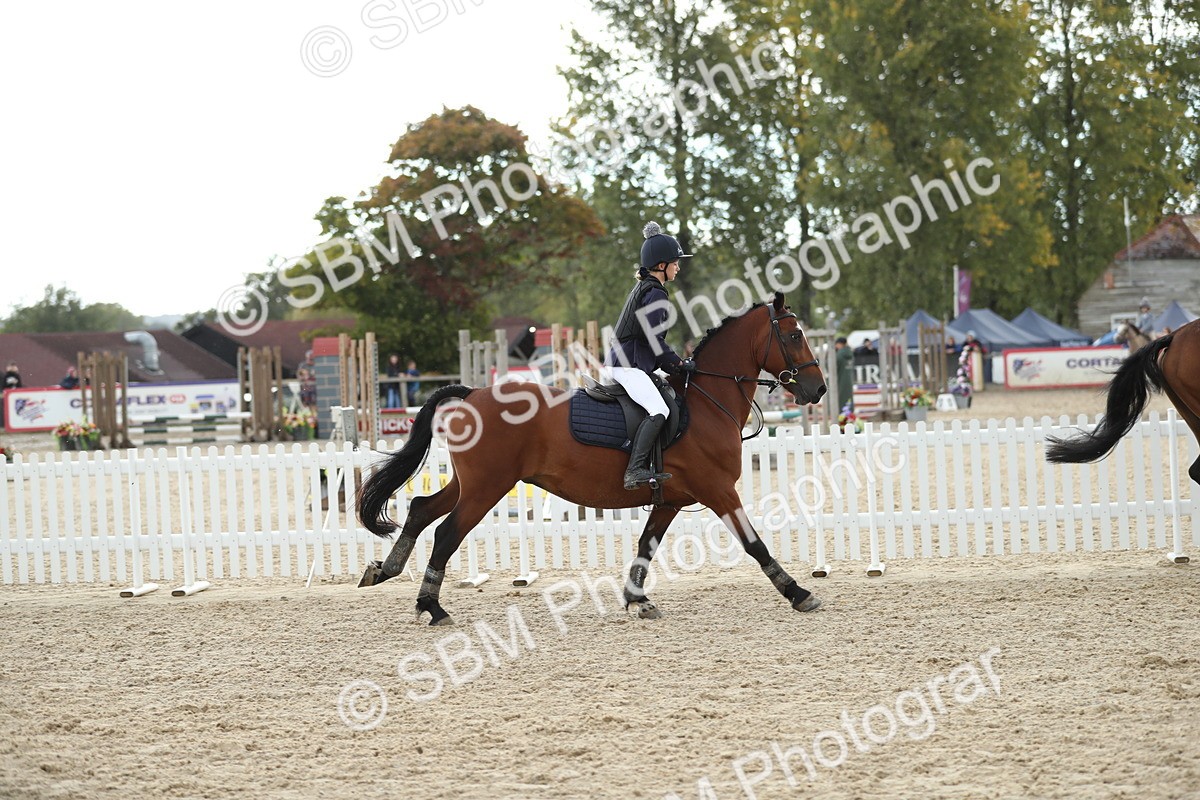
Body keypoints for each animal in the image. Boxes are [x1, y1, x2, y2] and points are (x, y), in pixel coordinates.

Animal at [356, 292, 828, 625]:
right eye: (793, 336)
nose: (818, 389)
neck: (707, 401)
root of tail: (473, 394)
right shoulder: (718, 491)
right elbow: (754, 543)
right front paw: (798, 593)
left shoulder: (671, 500)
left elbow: (646, 546)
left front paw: (638, 600)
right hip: (486, 488)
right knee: (446, 533)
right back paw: (431, 606)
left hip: (469, 484)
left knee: (421, 510)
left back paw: (388, 572)